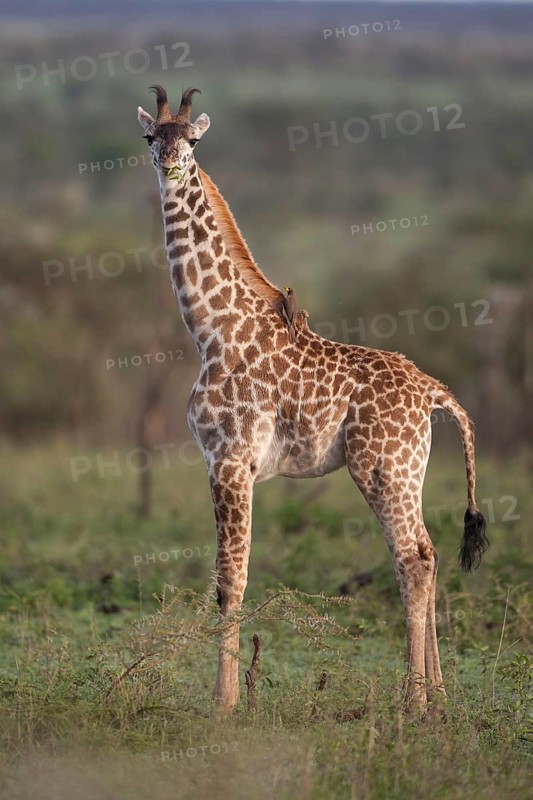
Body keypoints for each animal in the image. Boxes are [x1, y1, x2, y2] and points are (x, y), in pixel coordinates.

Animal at [137, 85, 489, 715]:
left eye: (193, 140)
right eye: (152, 136)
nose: (170, 164)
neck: (212, 329)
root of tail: (434, 393)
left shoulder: (229, 460)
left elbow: (230, 580)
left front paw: (224, 704)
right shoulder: (227, 463)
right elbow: (230, 577)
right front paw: (229, 698)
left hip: (381, 469)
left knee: (412, 558)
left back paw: (413, 703)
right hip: (407, 472)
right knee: (426, 553)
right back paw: (439, 699)